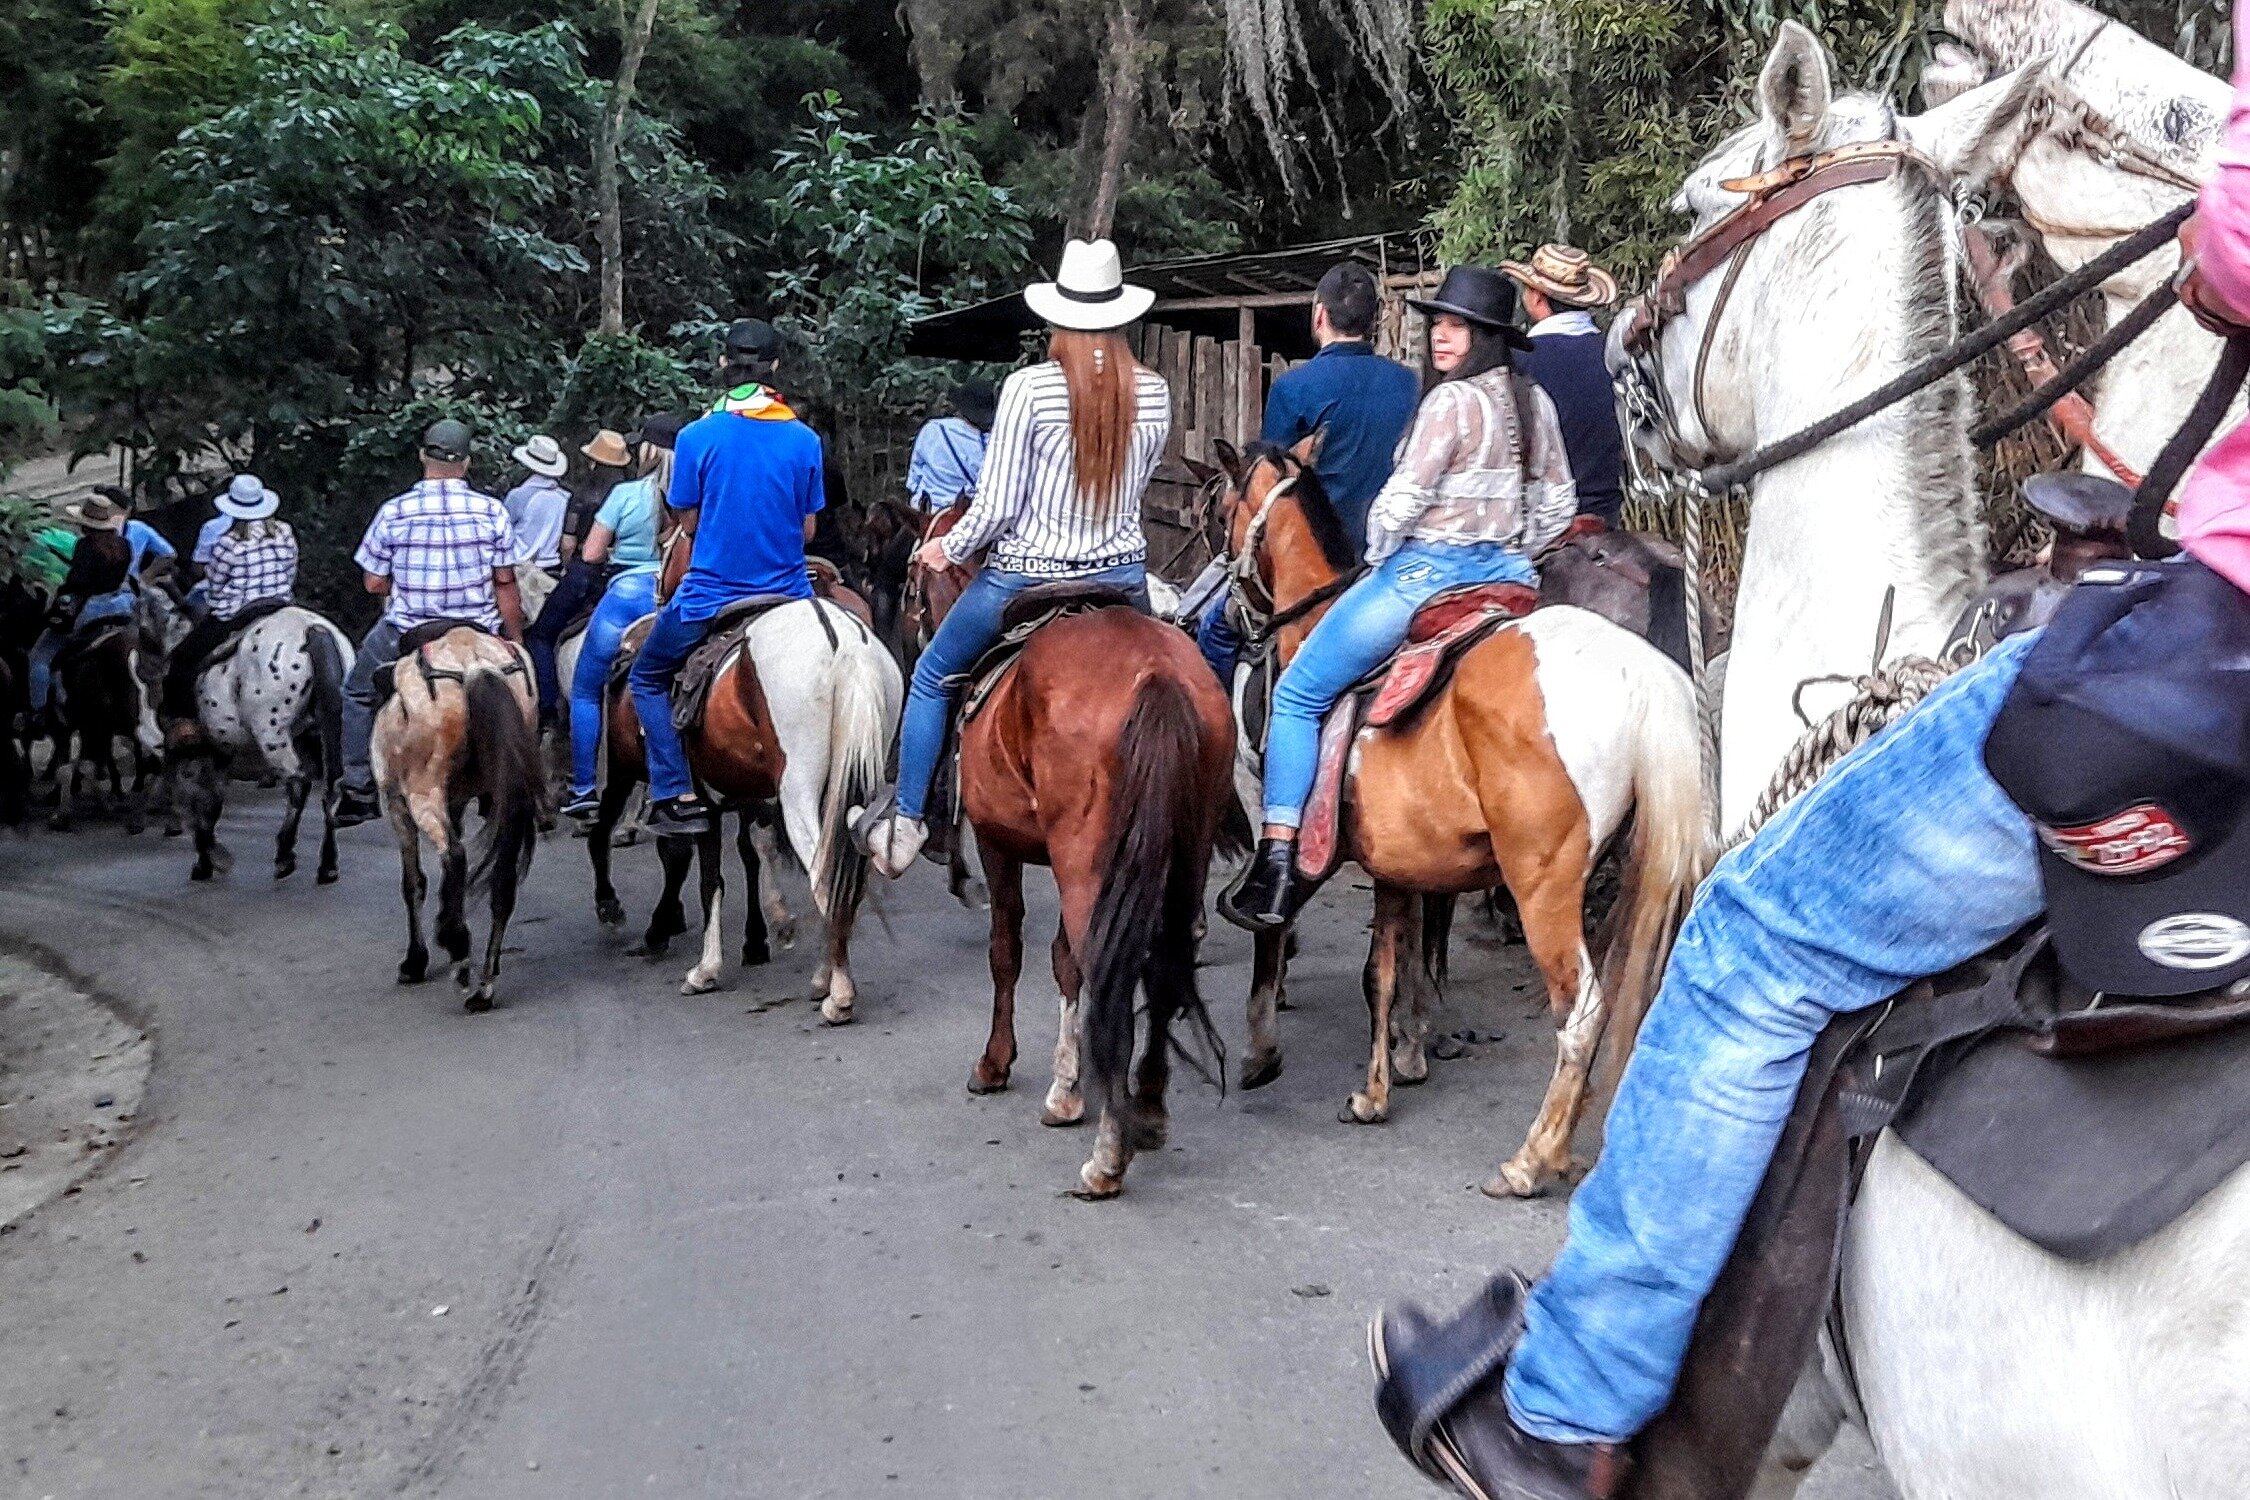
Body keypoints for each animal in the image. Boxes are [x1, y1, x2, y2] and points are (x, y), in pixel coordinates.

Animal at [175, 607, 353, 886]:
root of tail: (313, 631)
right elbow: (210, 801)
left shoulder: (208, 751)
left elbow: (204, 802)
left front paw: (208, 860)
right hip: (326, 732)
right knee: (332, 788)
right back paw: (327, 865)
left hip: (271, 734)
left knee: (298, 782)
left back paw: (285, 857)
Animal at [373, 620, 544, 1007]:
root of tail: (474, 663)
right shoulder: (456, 804)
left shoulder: (396, 804)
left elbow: (413, 883)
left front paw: (415, 961)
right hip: (506, 796)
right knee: (502, 878)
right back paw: (484, 984)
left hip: (422, 796)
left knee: (454, 855)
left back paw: (459, 949)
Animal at [904, 557, 1242, 1205]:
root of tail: (1157, 675)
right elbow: (1063, 962)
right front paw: (1066, 1088)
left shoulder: (998, 844)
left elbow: (1007, 952)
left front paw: (996, 1064)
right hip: (1170, 861)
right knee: (1163, 963)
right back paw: (1149, 1108)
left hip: (1085, 862)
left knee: (1112, 974)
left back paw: (1108, 1158)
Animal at [1215, 436, 1701, 1196]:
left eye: (1219, 510)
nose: (1232, 625)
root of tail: (1637, 669)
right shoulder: (1397, 864)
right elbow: (1385, 971)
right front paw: (1382, 1085)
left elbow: (1281, 927)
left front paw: (1263, 1049)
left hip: (1541, 884)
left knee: (1581, 1012)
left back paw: (1532, 1159)